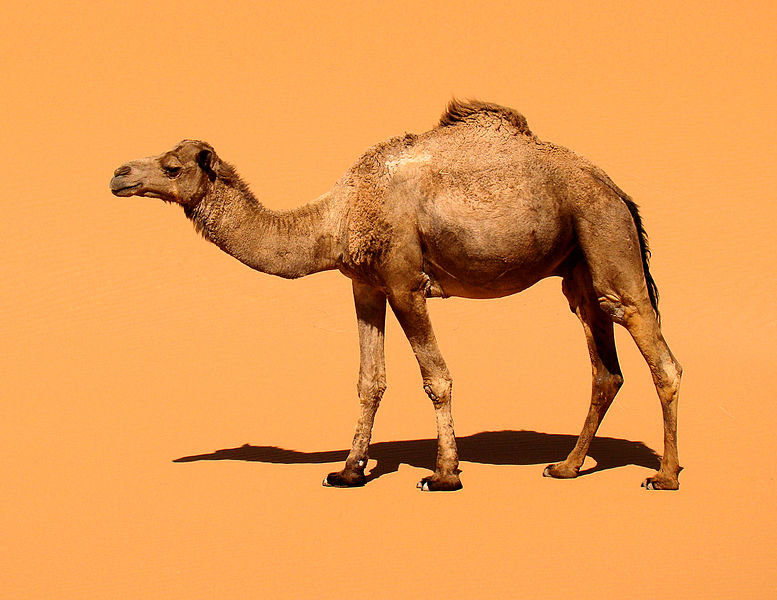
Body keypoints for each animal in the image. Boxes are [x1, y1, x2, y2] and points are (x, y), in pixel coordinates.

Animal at [110, 100, 682, 491]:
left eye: (173, 166)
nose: (118, 173)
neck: (335, 217)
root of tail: (619, 191)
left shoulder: (407, 282)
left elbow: (436, 377)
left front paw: (444, 474)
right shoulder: (365, 284)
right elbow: (370, 380)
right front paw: (348, 471)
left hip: (608, 242)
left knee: (660, 357)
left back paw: (665, 476)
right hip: (579, 272)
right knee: (605, 369)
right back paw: (565, 467)